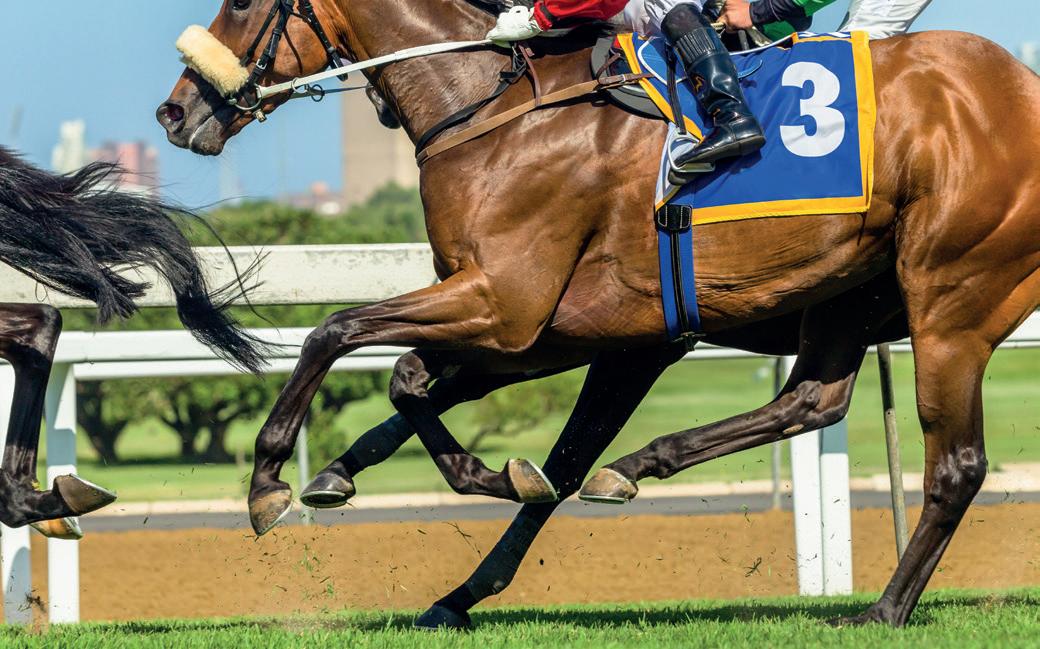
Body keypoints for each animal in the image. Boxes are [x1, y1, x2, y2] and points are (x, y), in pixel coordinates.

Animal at [158, 0, 1040, 628]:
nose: (174, 113)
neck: (496, 112)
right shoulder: (558, 329)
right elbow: (425, 390)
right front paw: (376, 483)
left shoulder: (509, 305)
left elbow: (335, 330)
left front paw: (270, 479)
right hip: (846, 296)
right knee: (812, 399)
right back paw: (643, 463)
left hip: (950, 296)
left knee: (956, 464)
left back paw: (884, 607)